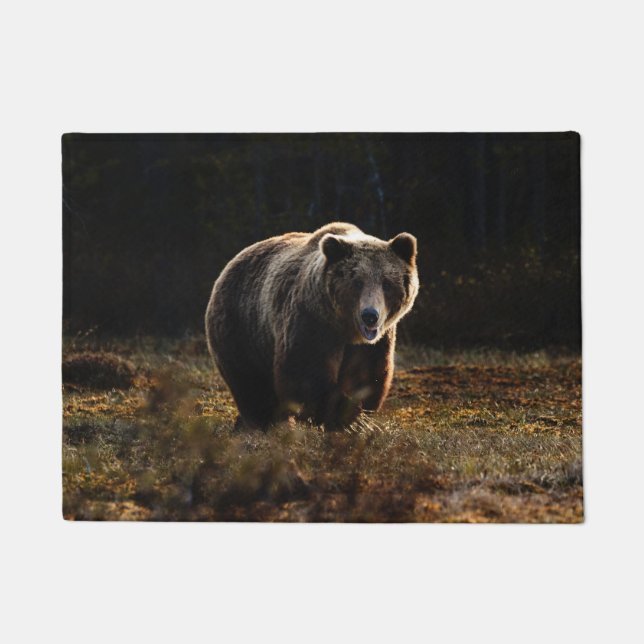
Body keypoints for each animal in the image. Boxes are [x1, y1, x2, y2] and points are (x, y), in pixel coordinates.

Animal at [205, 222, 419, 431]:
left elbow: (366, 375)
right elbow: (305, 374)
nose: (370, 316)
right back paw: (261, 422)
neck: (345, 328)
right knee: (250, 384)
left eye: (386, 283)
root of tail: (229, 265)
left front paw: (355, 415)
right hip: (241, 327)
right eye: (357, 282)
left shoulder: (374, 343)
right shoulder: (312, 322)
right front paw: (342, 415)